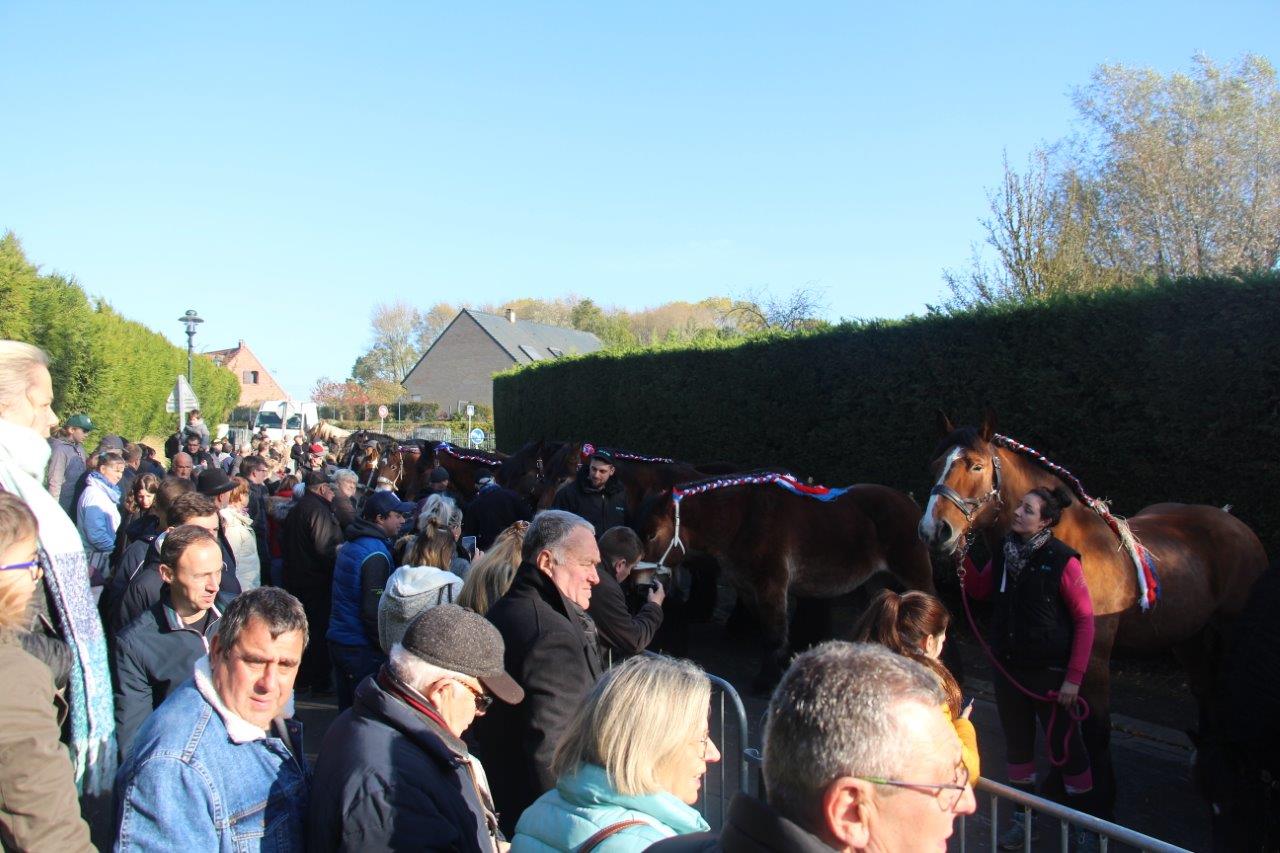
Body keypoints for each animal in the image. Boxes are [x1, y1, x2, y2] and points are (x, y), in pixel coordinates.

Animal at [637, 473, 931, 681]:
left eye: (651, 534)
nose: (637, 582)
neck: (743, 520)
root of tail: (912, 503)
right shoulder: (747, 589)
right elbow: (771, 632)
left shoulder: (771, 586)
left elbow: (774, 633)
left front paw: (766, 682)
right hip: (876, 581)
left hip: (915, 576)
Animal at [921, 412, 1269, 819]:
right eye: (935, 465)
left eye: (975, 465)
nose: (934, 530)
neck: (1070, 545)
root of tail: (1236, 524)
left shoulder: (1093, 657)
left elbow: (1094, 730)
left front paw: (1101, 804)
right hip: (1189, 637)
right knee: (1204, 689)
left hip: (1228, 632)